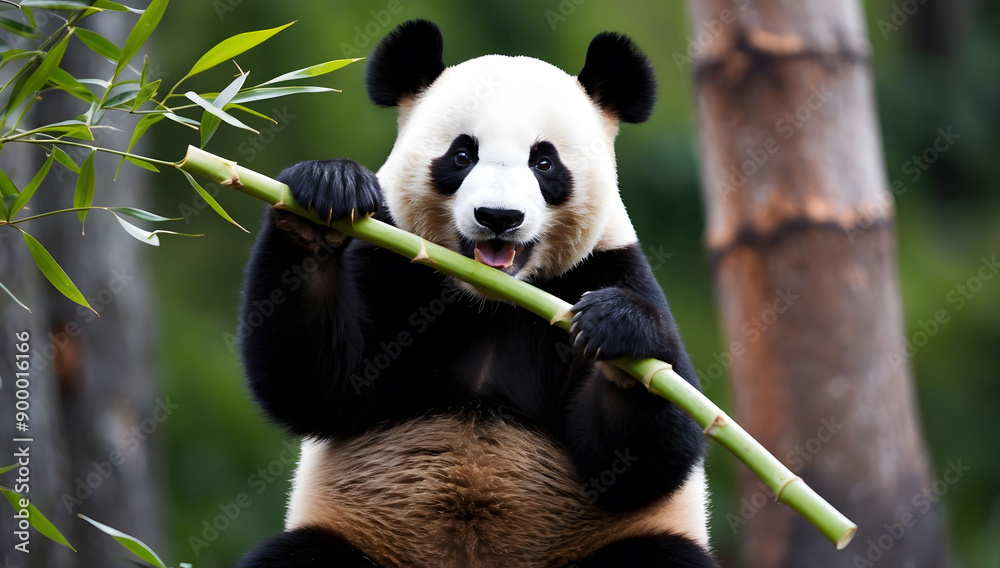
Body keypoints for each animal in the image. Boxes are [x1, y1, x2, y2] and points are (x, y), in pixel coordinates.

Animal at [238, 19, 715, 568]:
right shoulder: (390, 263)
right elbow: (322, 386)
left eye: (544, 162)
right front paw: (324, 197)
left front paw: (618, 334)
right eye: (462, 155)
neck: (490, 299)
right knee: (297, 554)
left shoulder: (608, 266)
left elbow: (643, 461)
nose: (498, 217)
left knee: (662, 554)